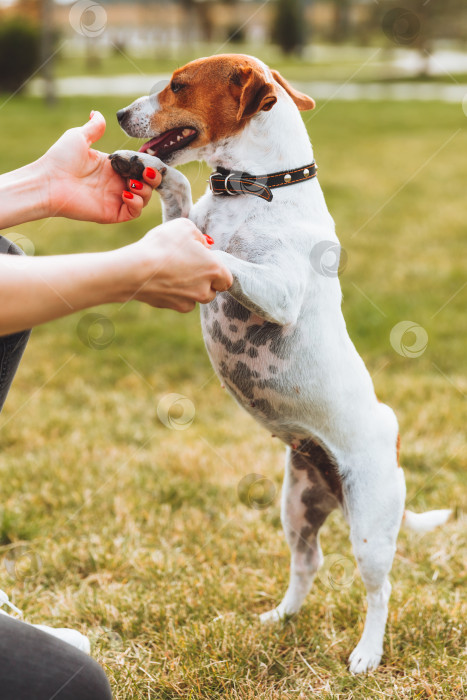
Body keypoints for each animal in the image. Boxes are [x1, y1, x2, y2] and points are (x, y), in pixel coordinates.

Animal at [110, 54, 454, 672]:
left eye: (178, 86)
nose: (123, 113)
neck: (254, 190)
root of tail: (390, 440)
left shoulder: (280, 291)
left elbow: (224, 258)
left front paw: (204, 249)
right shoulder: (189, 217)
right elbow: (181, 202)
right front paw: (150, 171)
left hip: (371, 529)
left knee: (380, 589)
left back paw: (366, 654)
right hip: (297, 506)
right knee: (308, 562)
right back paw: (282, 617)